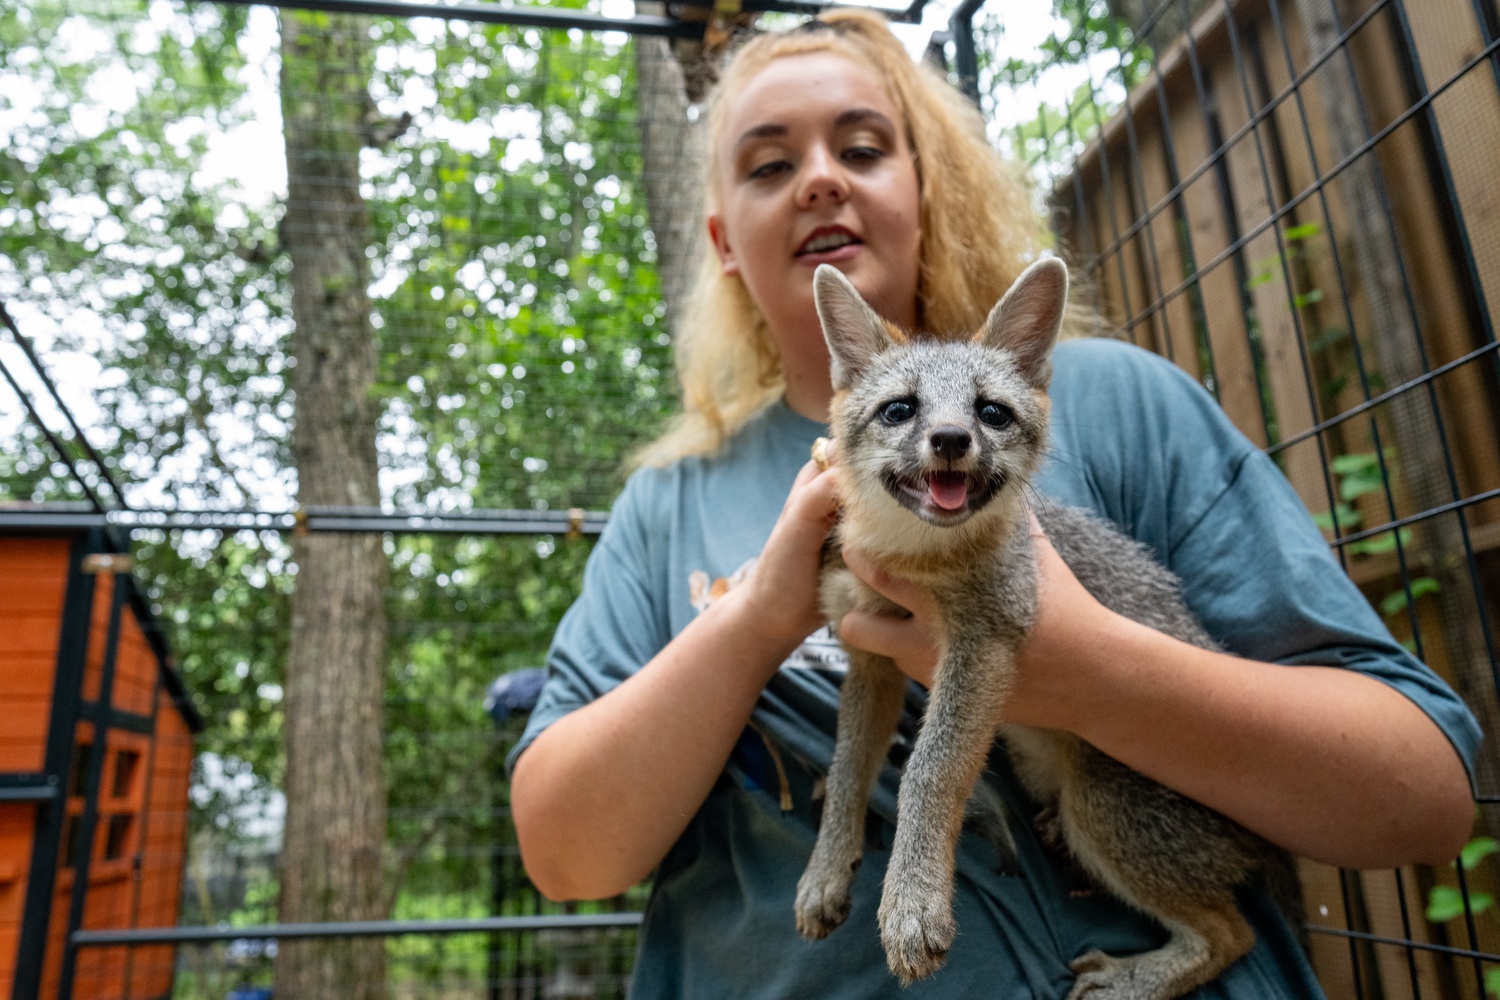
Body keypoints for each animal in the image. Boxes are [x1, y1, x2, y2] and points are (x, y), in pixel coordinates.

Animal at [798, 260, 1278, 1000]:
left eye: (990, 412)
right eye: (900, 409)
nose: (951, 440)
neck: (913, 558)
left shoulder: (986, 642)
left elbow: (929, 771)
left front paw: (911, 903)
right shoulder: (870, 655)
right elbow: (849, 766)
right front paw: (825, 870)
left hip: (1101, 811)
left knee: (1233, 934)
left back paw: (1132, 981)